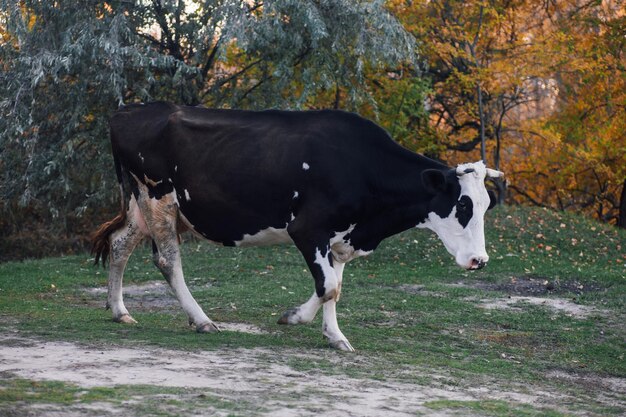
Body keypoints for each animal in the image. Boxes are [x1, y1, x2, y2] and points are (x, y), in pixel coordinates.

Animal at [92, 101, 502, 352]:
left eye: (486, 205)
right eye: (463, 205)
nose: (479, 260)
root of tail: (126, 111)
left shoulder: (342, 238)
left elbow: (335, 287)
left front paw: (333, 335)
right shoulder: (307, 229)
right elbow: (328, 286)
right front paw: (296, 318)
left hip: (141, 204)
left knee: (120, 243)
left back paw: (119, 310)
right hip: (158, 198)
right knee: (167, 262)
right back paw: (201, 320)